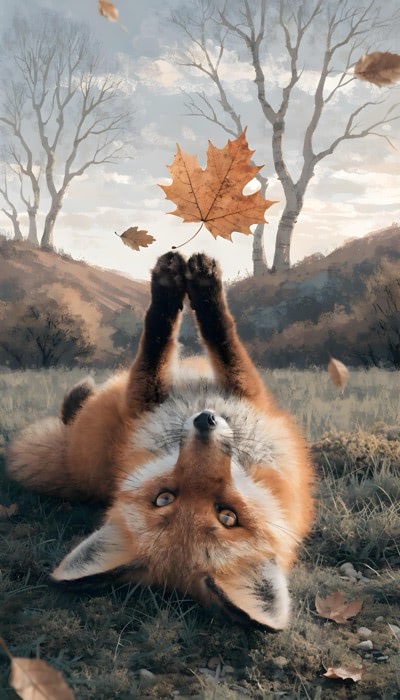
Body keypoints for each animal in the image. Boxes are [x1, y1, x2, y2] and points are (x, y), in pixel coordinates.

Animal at [6, 252, 314, 630]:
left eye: (228, 517)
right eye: (164, 498)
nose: (205, 422)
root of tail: (71, 466)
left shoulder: (241, 394)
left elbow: (209, 340)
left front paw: (193, 282)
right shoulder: (147, 399)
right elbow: (173, 340)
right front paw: (178, 284)